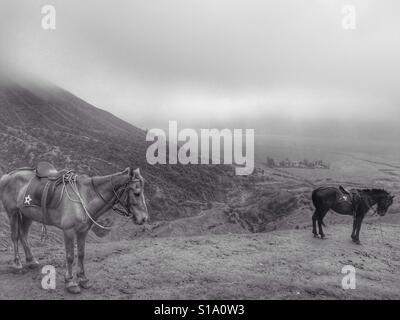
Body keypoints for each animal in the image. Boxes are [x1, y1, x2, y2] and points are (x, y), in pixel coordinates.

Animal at [0, 166, 149, 294]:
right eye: (137, 193)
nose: (144, 218)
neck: (85, 197)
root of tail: (7, 175)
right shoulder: (69, 231)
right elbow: (70, 256)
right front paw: (70, 282)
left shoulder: (83, 231)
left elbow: (81, 254)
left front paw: (83, 279)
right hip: (13, 213)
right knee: (15, 236)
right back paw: (17, 263)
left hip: (27, 215)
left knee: (23, 235)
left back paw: (31, 261)